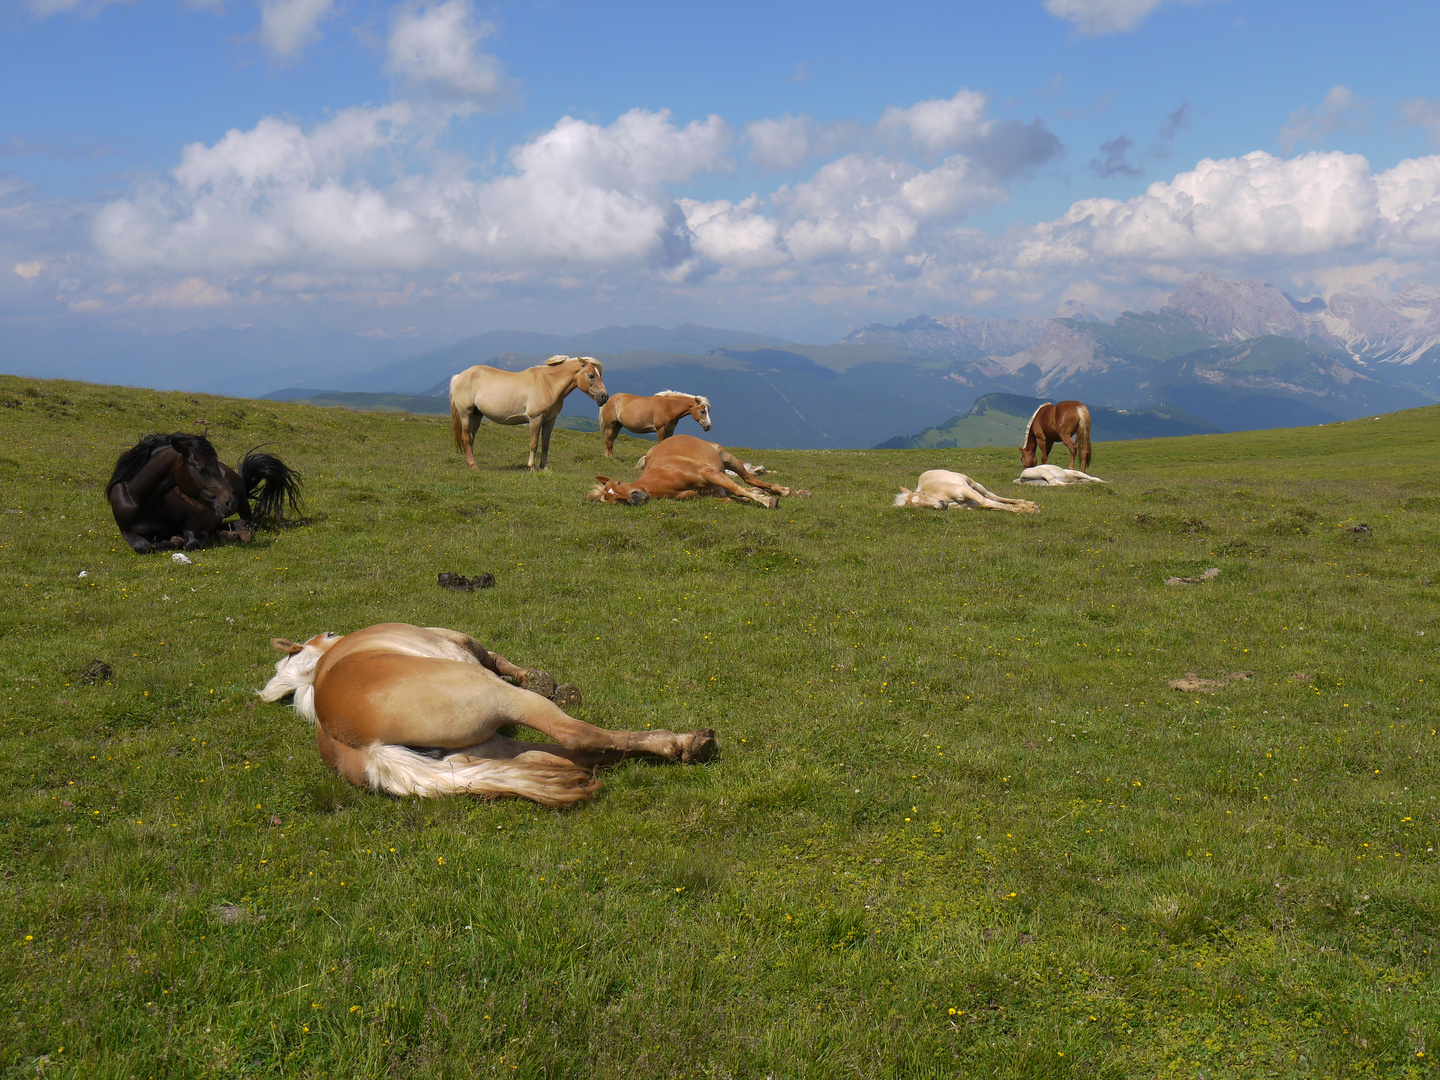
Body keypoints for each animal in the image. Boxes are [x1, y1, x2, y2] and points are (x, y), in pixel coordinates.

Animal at [106, 437, 300, 558]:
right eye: (200, 468)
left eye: (214, 466)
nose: (229, 502)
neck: (143, 502)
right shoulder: (126, 531)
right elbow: (143, 546)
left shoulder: (191, 517)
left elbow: (191, 543)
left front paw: (183, 538)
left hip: (242, 503)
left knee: (250, 524)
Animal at [260, 622, 720, 806]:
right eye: (327, 633)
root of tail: (369, 749)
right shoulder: (465, 642)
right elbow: (499, 659)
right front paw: (542, 678)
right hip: (505, 702)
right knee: (578, 737)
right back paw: (685, 742)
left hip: (490, 746)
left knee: (568, 756)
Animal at [449, 357, 607, 472]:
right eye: (591, 376)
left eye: (599, 375)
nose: (604, 397)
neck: (549, 384)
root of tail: (458, 376)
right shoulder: (535, 419)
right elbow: (534, 444)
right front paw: (531, 467)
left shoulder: (550, 421)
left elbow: (545, 444)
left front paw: (544, 467)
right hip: (466, 413)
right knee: (466, 438)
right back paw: (474, 466)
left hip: (476, 415)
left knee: (470, 438)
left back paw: (470, 464)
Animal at [590, 434, 806, 512]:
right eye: (615, 500)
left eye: (618, 483)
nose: (635, 496)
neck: (665, 477)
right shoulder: (710, 493)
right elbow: (731, 497)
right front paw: (758, 498)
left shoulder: (707, 472)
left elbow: (738, 489)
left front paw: (767, 501)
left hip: (728, 459)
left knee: (749, 479)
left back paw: (783, 491)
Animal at [892, 469, 1042, 515]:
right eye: (919, 507)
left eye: (923, 494)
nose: (941, 505)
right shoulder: (971, 504)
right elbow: (991, 505)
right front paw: (1023, 509)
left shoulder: (964, 490)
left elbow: (987, 501)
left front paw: (1028, 509)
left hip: (973, 484)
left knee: (991, 495)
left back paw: (1028, 503)